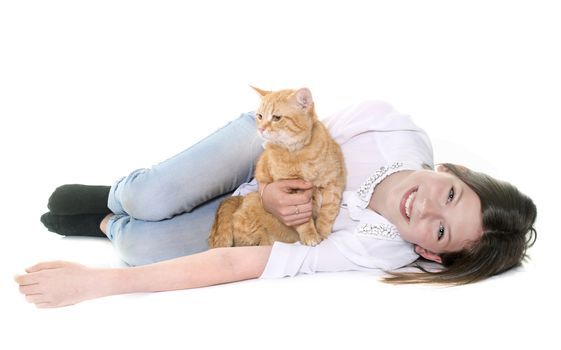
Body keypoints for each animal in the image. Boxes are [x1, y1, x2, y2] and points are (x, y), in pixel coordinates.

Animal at [207, 86, 346, 247]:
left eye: (276, 118)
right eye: (260, 116)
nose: (261, 129)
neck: (298, 153)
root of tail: (241, 199)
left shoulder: (333, 183)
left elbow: (327, 214)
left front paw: (322, 234)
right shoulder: (292, 195)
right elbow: (303, 221)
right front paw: (310, 235)